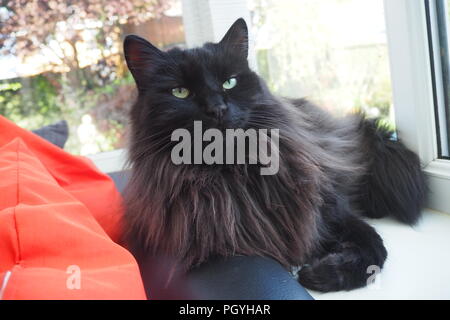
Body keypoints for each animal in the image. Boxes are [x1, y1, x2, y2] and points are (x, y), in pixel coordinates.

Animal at [122, 18, 426, 292]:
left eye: (229, 82)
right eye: (180, 92)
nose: (217, 108)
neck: (231, 176)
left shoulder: (330, 211)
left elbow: (374, 250)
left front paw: (317, 275)